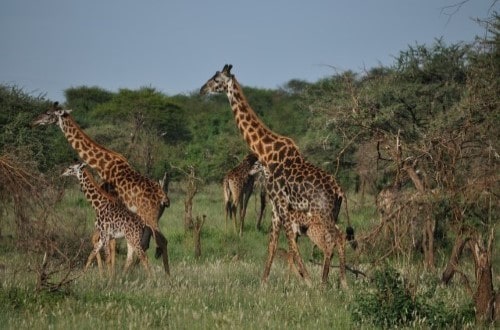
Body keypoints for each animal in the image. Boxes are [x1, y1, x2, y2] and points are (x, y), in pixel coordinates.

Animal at [33, 102, 171, 274]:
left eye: (48, 113)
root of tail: (164, 198)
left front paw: (105, 272)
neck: (102, 165)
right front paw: (106, 272)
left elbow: (105, 243)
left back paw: (166, 276)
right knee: (146, 244)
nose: (35, 121)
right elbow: (103, 242)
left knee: (160, 241)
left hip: (149, 215)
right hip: (151, 217)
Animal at [199, 64, 352, 286]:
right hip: (333, 213)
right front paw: (264, 283)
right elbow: (273, 243)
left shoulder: (279, 203)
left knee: (333, 239)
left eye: (216, 79)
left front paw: (307, 281)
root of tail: (339, 190)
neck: (265, 151)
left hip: (321, 213)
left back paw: (329, 283)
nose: (202, 89)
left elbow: (287, 243)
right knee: (338, 238)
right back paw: (338, 282)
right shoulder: (275, 206)